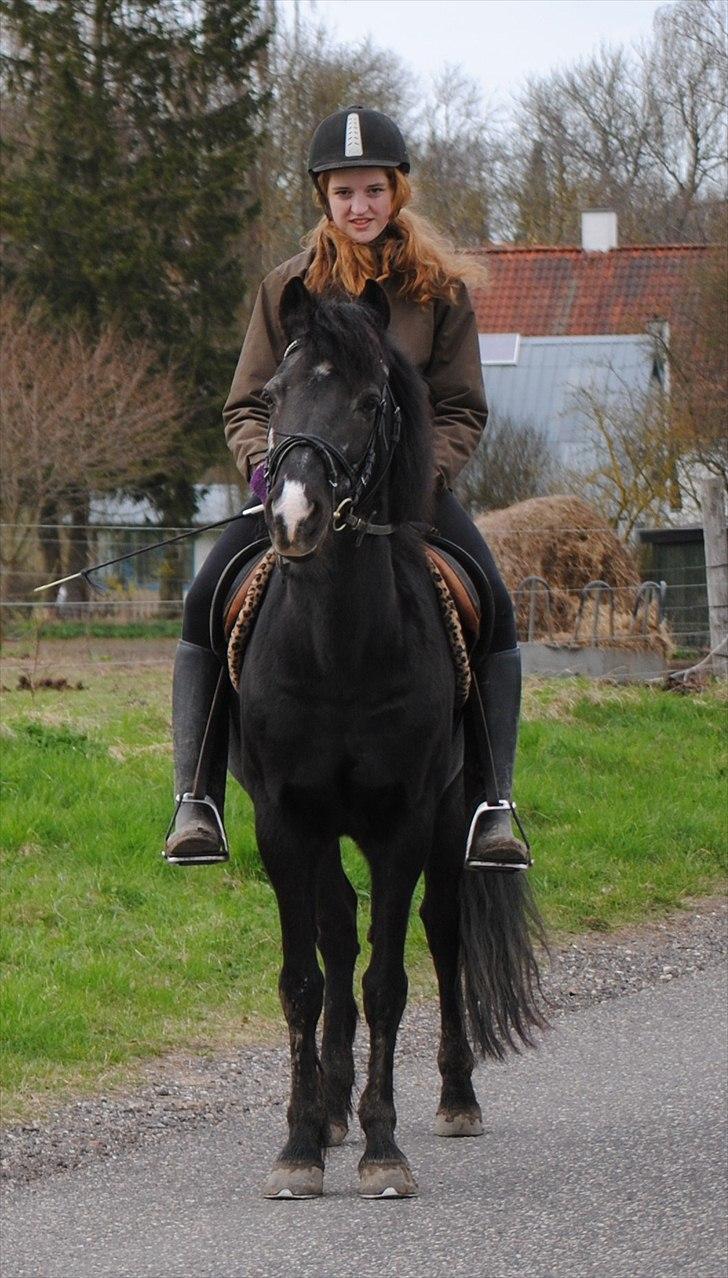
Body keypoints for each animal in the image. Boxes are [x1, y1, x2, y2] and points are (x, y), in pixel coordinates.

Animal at [232, 276, 546, 1199]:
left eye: (371, 402)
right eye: (272, 395)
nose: (293, 518)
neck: (337, 648)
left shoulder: (403, 823)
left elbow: (387, 982)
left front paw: (383, 1148)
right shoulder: (284, 823)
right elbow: (305, 980)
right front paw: (301, 1144)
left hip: (450, 821)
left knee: (442, 935)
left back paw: (453, 1098)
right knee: (336, 930)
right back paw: (331, 1107)